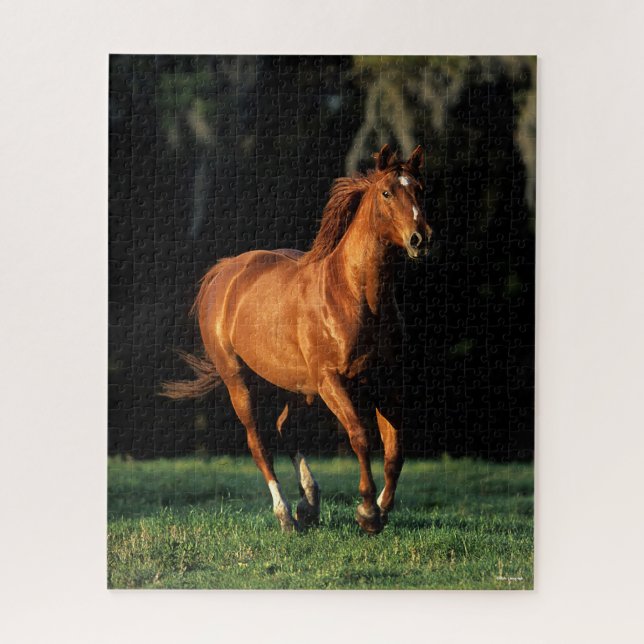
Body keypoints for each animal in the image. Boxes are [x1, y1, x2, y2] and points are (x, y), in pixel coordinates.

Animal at [161, 144, 432, 534]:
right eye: (386, 192)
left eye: (421, 190)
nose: (420, 239)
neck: (352, 295)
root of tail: (224, 271)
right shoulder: (331, 381)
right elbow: (360, 438)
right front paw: (367, 512)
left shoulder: (387, 381)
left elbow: (395, 449)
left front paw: (381, 509)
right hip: (240, 381)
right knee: (259, 441)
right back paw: (286, 514)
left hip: (294, 386)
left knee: (284, 430)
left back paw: (310, 504)